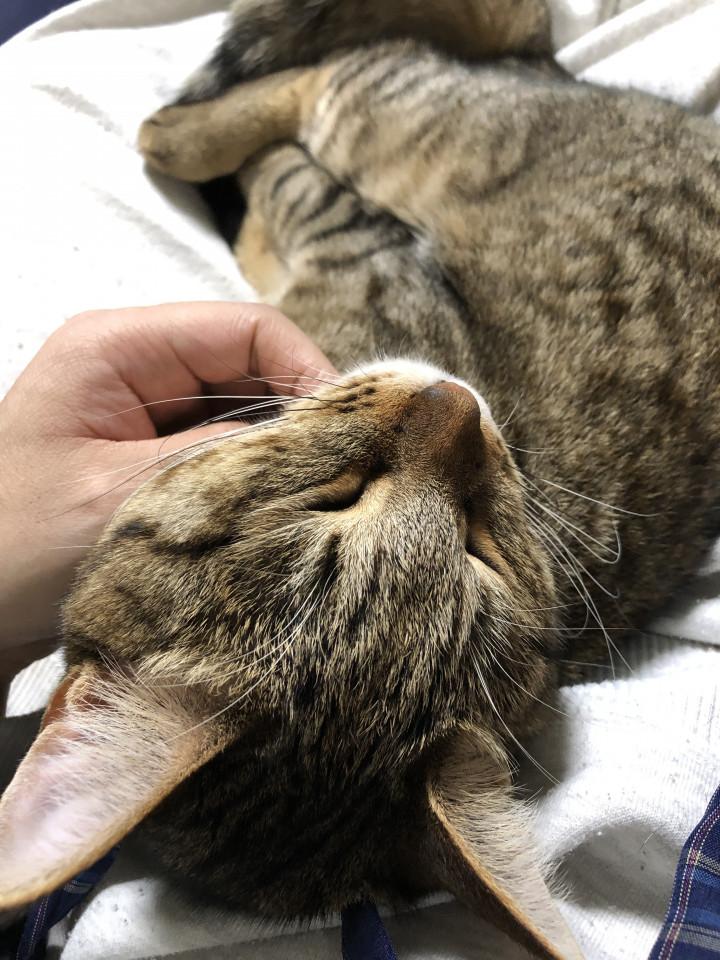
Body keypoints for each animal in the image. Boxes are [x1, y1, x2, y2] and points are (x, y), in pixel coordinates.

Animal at [2, 1, 720, 957]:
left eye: (479, 544)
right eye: (332, 498)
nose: (456, 407)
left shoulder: (357, 244)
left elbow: (290, 182)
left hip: (406, 125)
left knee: (310, 87)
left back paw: (200, 144)